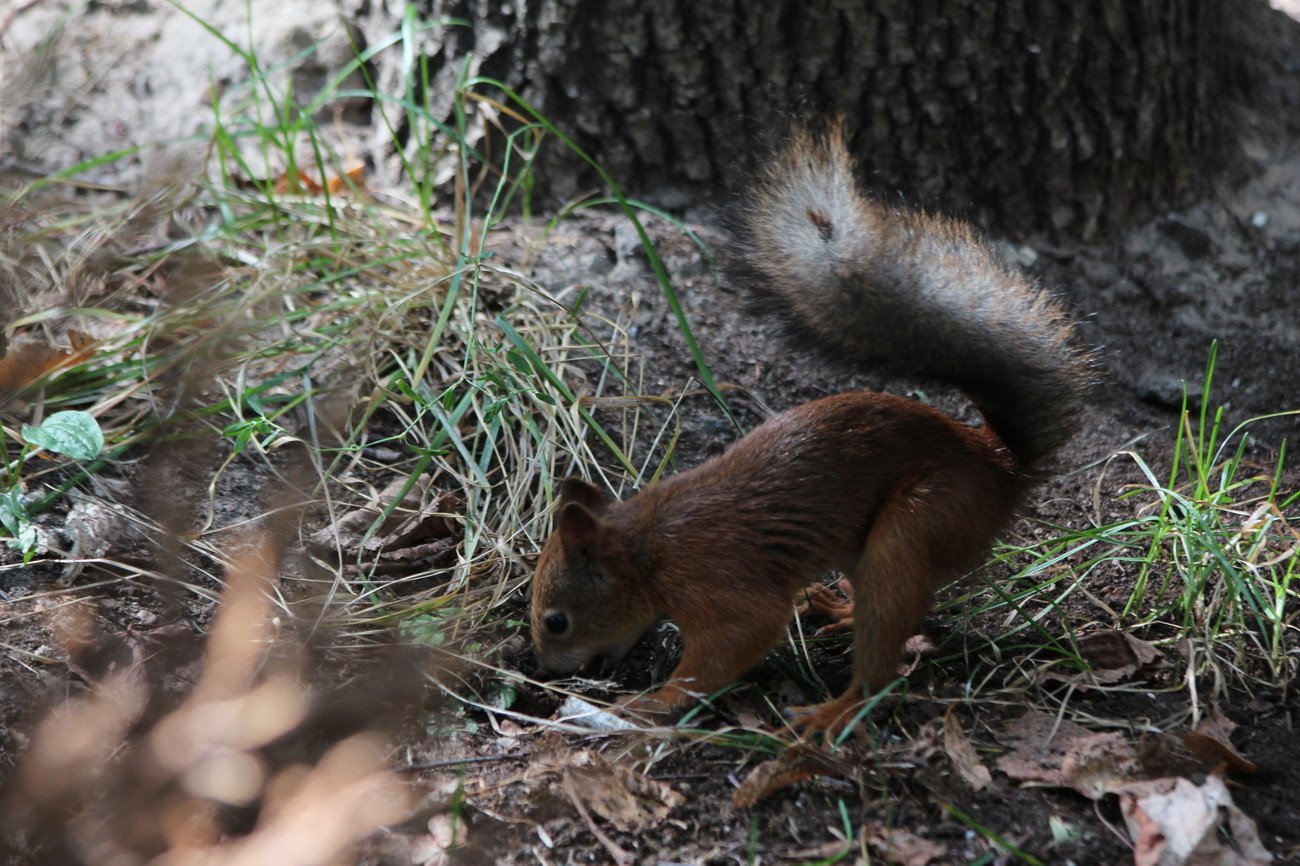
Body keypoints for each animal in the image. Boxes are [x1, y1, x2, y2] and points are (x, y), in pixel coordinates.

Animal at [527, 124, 1086, 733]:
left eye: (557, 621)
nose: (543, 671)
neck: (646, 550)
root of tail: (998, 464)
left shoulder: (715, 584)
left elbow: (734, 643)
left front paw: (654, 701)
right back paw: (839, 609)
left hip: (921, 520)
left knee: (883, 658)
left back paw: (834, 711)